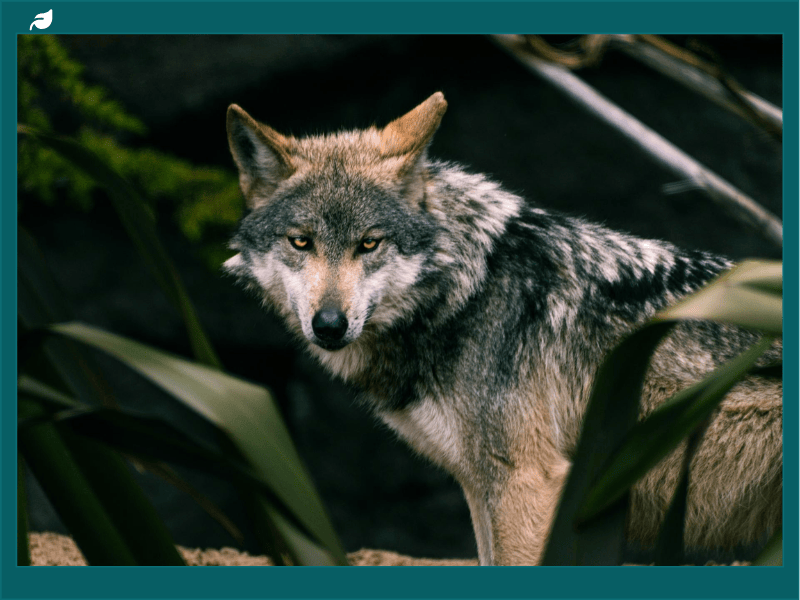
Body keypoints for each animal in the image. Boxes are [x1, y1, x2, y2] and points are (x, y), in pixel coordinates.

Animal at [223, 93, 782, 565]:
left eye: (369, 243)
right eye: (300, 242)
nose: (330, 325)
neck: (468, 289)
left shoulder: (525, 483)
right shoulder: (480, 486)